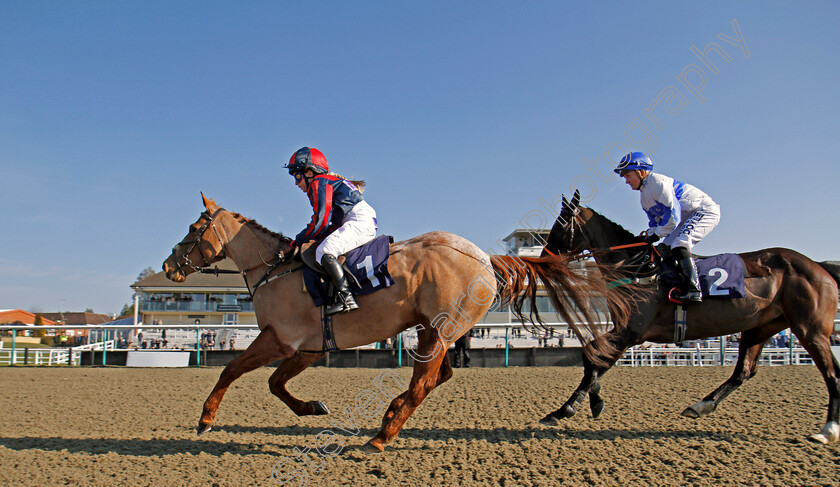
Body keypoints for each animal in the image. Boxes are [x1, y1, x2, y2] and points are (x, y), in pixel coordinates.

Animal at [162, 194, 632, 454]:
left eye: (193, 227)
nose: (169, 266)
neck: (275, 270)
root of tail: (483, 257)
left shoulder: (280, 340)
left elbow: (232, 369)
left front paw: (206, 418)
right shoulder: (308, 347)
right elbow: (276, 383)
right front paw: (313, 407)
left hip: (439, 331)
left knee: (425, 381)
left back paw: (383, 434)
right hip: (431, 330)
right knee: (437, 377)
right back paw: (390, 413)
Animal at [540, 192, 840, 446]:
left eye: (559, 226)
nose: (543, 259)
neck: (638, 267)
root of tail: (819, 266)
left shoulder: (631, 331)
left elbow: (593, 356)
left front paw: (566, 409)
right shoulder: (625, 331)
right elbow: (594, 359)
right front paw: (592, 401)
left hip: (810, 329)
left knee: (832, 373)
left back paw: (828, 430)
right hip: (760, 327)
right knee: (744, 371)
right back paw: (701, 405)